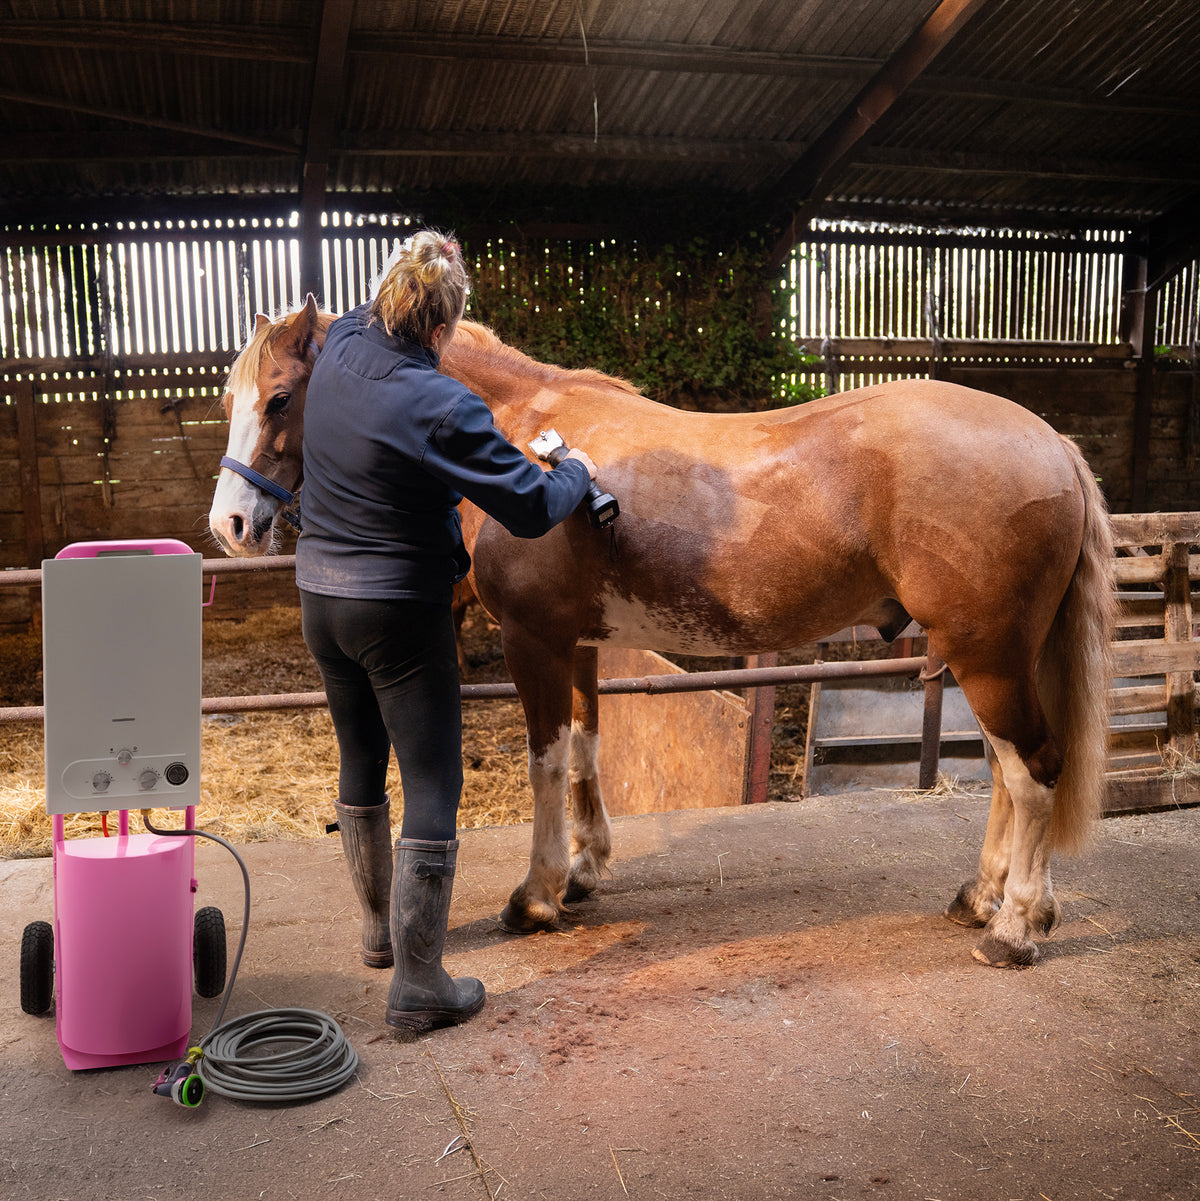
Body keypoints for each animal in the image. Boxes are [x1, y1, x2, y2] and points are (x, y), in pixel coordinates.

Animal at [209, 295, 1115, 969]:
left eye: (280, 397)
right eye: (230, 400)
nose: (231, 524)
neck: (516, 430)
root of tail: (1051, 443)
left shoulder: (533, 641)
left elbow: (545, 761)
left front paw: (534, 895)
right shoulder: (576, 643)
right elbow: (584, 749)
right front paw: (581, 871)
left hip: (987, 655)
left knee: (1033, 770)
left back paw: (1015, 927)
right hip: (989, 655)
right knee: (1004, 772)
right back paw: (980, 899)